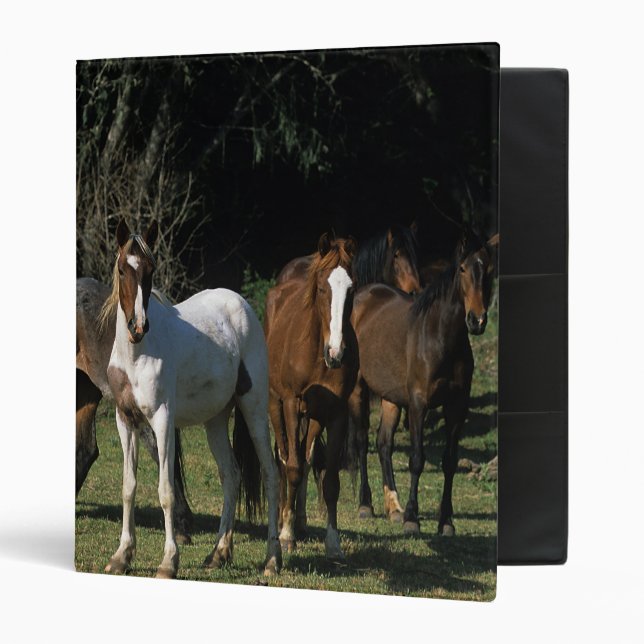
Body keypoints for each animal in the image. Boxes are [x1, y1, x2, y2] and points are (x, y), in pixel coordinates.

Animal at [101, 219, 281, 578]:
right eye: (123, 270)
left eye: (150, 270)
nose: (138, 326)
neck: (138, 354)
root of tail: (242, 305)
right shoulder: (125, 419)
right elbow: (128, 487)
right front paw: (121, 556)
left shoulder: (162, 420)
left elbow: (166, 491)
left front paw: (168, 561)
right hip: (215, 420)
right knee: (231, 476)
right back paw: (218, 553)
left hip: (254, 409)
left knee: (270, 475)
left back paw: (272, 560)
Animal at [264, 233, 358, 559]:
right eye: (321, 288)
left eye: (352, 289)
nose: (336, 353)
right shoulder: (292, 404)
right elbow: (291, 467)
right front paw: (286, 535)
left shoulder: (337, 412)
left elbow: (329, 481)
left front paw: (333, 543)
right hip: (277, 406)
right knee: (283, 458)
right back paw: (284, 520)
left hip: (315, 416)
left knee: (305, 458)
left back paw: (300, 520)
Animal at [349, 231, 499, 534]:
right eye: (462, 269)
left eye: (489, 270)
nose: (476, 320)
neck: (440, 336)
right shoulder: (419, 404)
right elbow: (417, 460)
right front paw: (412, 519)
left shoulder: (457, 408)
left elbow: (449, 462)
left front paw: (446, 522)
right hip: (360, 390)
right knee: (361, 441)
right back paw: (366, 505)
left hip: (391, 397)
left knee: (384, 443)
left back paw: (393, 508)